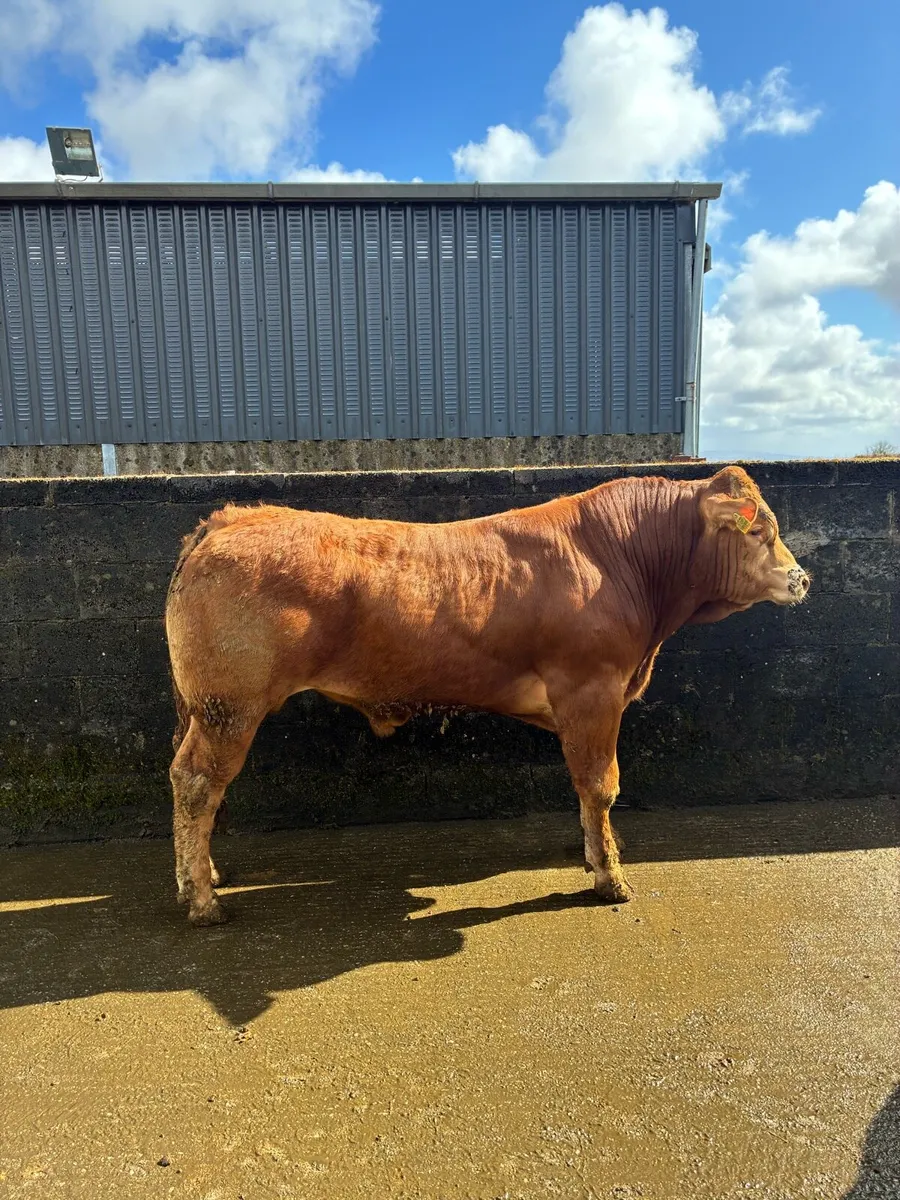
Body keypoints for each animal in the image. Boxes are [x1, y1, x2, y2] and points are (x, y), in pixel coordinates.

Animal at [165, 465, 809, 926]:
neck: (618, 558)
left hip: (199, 706)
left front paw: (591, 853)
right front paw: (610, 878)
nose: (802, 578)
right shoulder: (593, 689)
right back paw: (201, 901)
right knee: (197, 783)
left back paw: (204, 875)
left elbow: (585, 794)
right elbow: (600, 786)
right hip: (230, 705)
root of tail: (229, 518)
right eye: (761, 531)